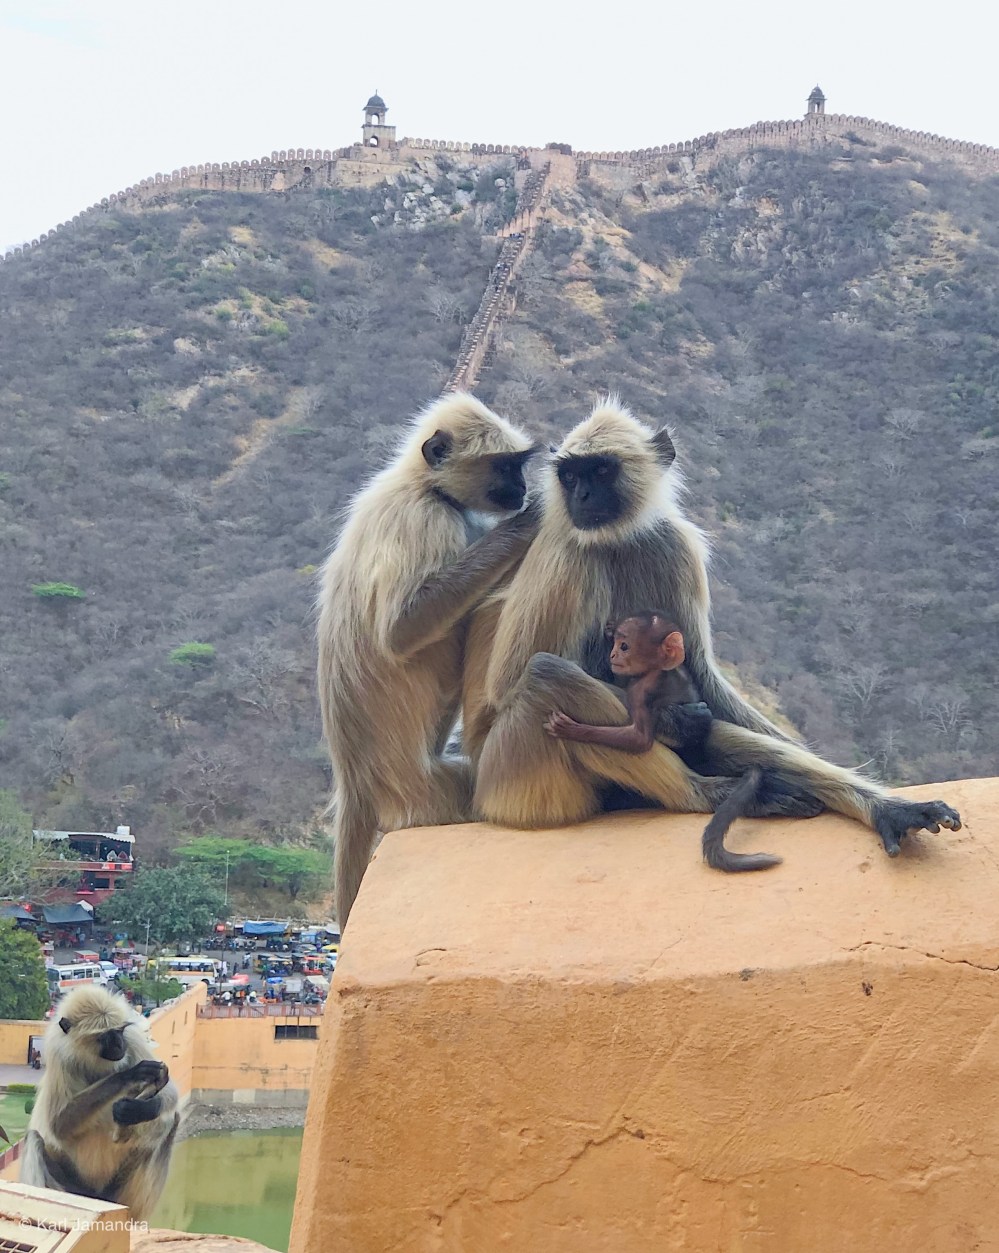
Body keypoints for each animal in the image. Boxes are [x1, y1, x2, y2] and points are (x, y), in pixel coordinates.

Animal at [20, 985, 180, 1220]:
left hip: (123, 1193)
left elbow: (170, 1092)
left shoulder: (132, 1040)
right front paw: (129, 1075)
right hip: (74, 1187)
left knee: (170, 1121)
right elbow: (58, 1126)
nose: (119, 1044)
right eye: (106, 1036)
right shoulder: (60, 1055)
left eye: (119, 1032)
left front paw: (137, 1109)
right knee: (34, 1139)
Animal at [317, 392, 538, 930]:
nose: (522, 488)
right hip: (432, 791)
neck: (422, 484)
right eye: (505, 466)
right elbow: (401, 631)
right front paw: (524, 528)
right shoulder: (424, 519)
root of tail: (356, 783)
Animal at [544, 611, 781, 872]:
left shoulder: (643, 690)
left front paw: (573, 730)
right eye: (616, 643)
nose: (613, 654)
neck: (658, 671)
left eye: (624, 646)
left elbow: (640, 740)